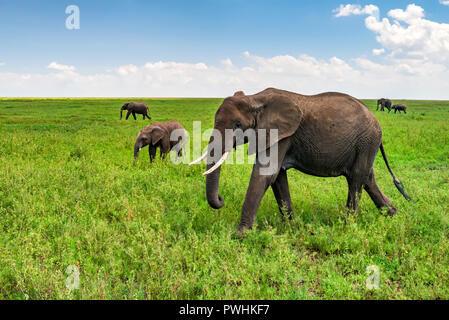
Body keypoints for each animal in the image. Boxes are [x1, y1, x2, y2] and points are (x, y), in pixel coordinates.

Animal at [191, 89, 412, 234]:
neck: (255, 98)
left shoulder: (282, 134)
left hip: (366, 141)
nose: (221, 199)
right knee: (367, 178)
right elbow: (277, 176)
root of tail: (376, 122)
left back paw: (348, 225)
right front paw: (290, 226)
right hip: (365, 144)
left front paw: (240, 234)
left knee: (357, 178)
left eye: (237, 124)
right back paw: (393, 214)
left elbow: (266, 174)